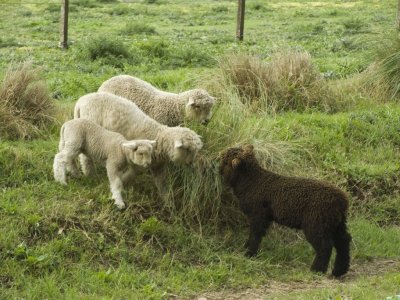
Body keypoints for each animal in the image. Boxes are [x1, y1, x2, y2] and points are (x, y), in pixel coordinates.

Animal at [73, 92, 203, 198]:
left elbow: (161, 183)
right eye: (187, 149)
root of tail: (81, 101)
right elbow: (129, 176)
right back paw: (90, 174)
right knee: (85, 156)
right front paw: (120, 185)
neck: (157, 137)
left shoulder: (158, 166)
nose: (191, 163)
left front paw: (166, 199)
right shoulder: (136, 160)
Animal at [220, 144, 352, 278]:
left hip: (317, 223)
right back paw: (339, 271)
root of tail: (342, 201)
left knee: (324, 247)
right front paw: (245, 249)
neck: (252, 181)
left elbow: (255, 234)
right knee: (344, 242)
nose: (218, 168)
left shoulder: (258, 214)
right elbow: (252, 233)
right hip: (335, 223)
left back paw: (317, 270)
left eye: (225, 161)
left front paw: (249, 254)